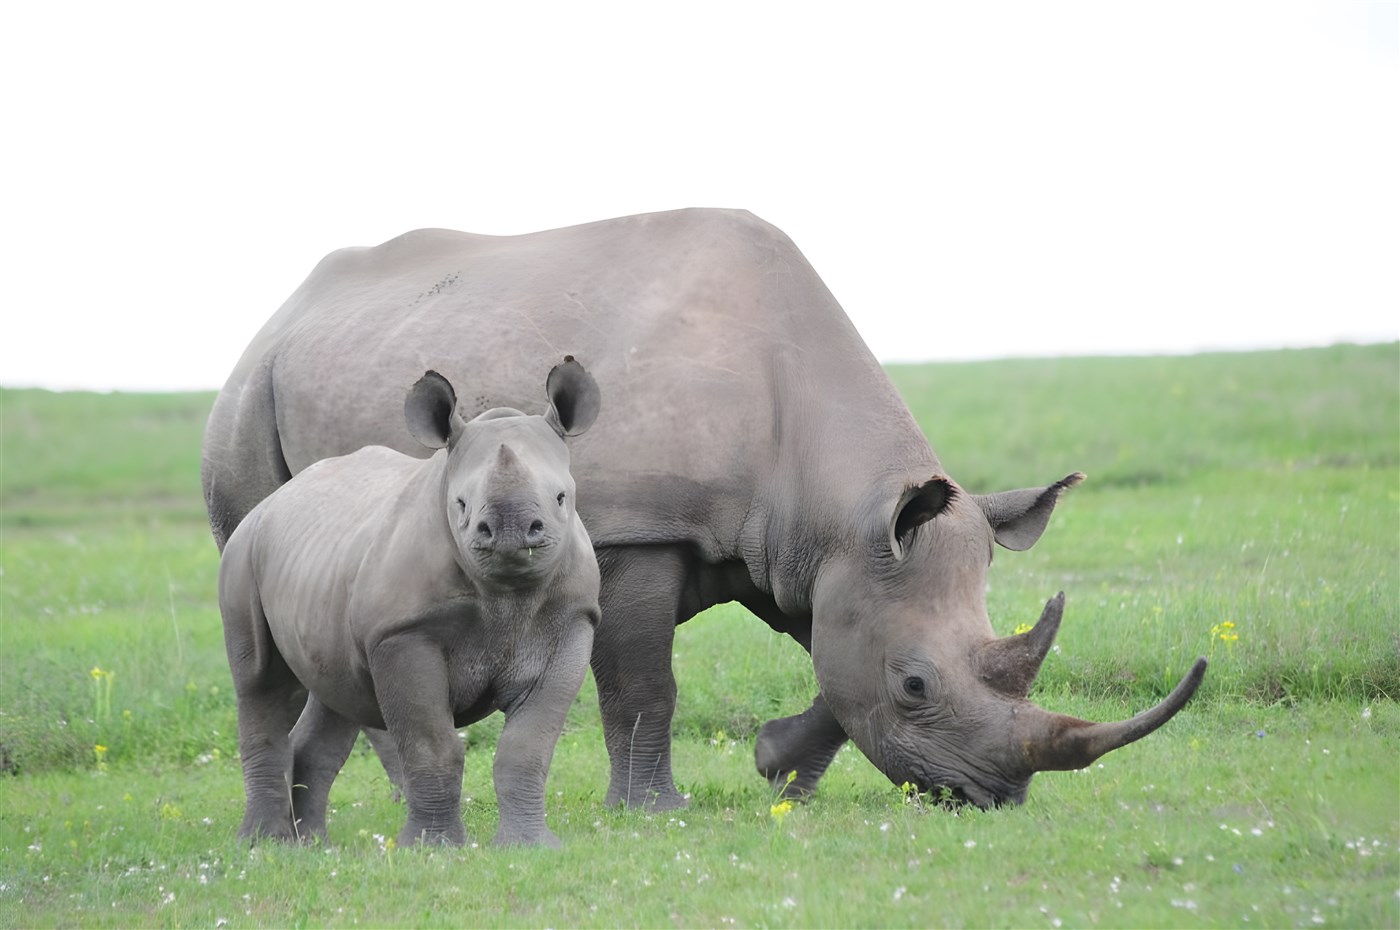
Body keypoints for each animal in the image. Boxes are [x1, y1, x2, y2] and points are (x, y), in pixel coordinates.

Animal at [217, 360, 602, 847]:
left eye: (561, 498)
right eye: (460, 504)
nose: (511, 533)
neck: (507, 593)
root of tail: (273, 500)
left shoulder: (572, 622)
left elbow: (527, 745)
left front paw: (530, 847)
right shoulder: (401, 633)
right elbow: (431, 745)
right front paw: (432, 849)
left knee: (334, 693)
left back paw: (316, 848)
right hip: (242, 549)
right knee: (261, 683)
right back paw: (265, 845)